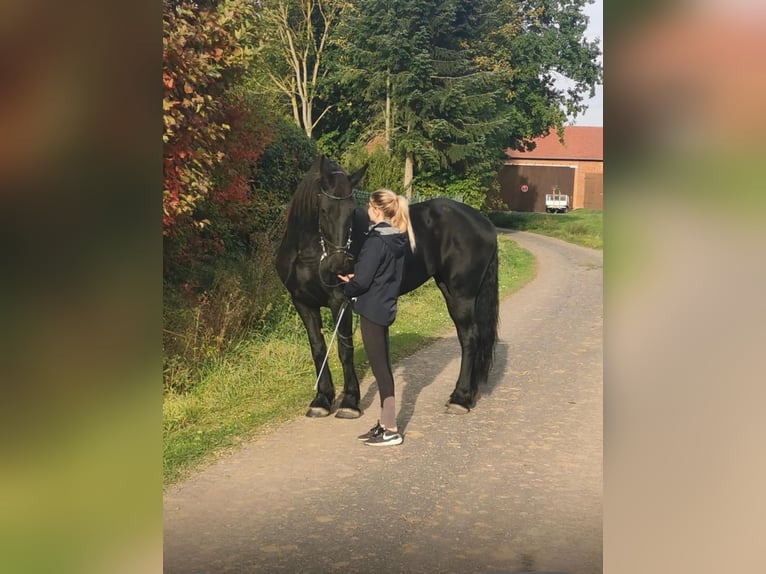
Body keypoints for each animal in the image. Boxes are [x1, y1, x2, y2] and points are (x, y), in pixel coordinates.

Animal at [275, 155, 499, 418]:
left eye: (352, 211)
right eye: (323, 210)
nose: (339, 264)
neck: (310, 254)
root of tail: (484, 222)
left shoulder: (340, 302)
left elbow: (344, 348)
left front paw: (349, 402)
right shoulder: (303, 303)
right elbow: (318, 349)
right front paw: (321, 400)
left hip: (461, 295)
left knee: (469, 337)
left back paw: (460, 397)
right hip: (449, 288)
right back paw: (468, 394)